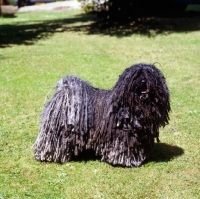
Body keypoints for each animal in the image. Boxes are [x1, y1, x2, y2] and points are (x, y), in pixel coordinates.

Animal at [32, 63, 170, 167]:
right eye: (136, 75)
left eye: (149, 75)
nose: (143, 81)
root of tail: (64, 91)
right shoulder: (121, 136)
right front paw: (125, 161)